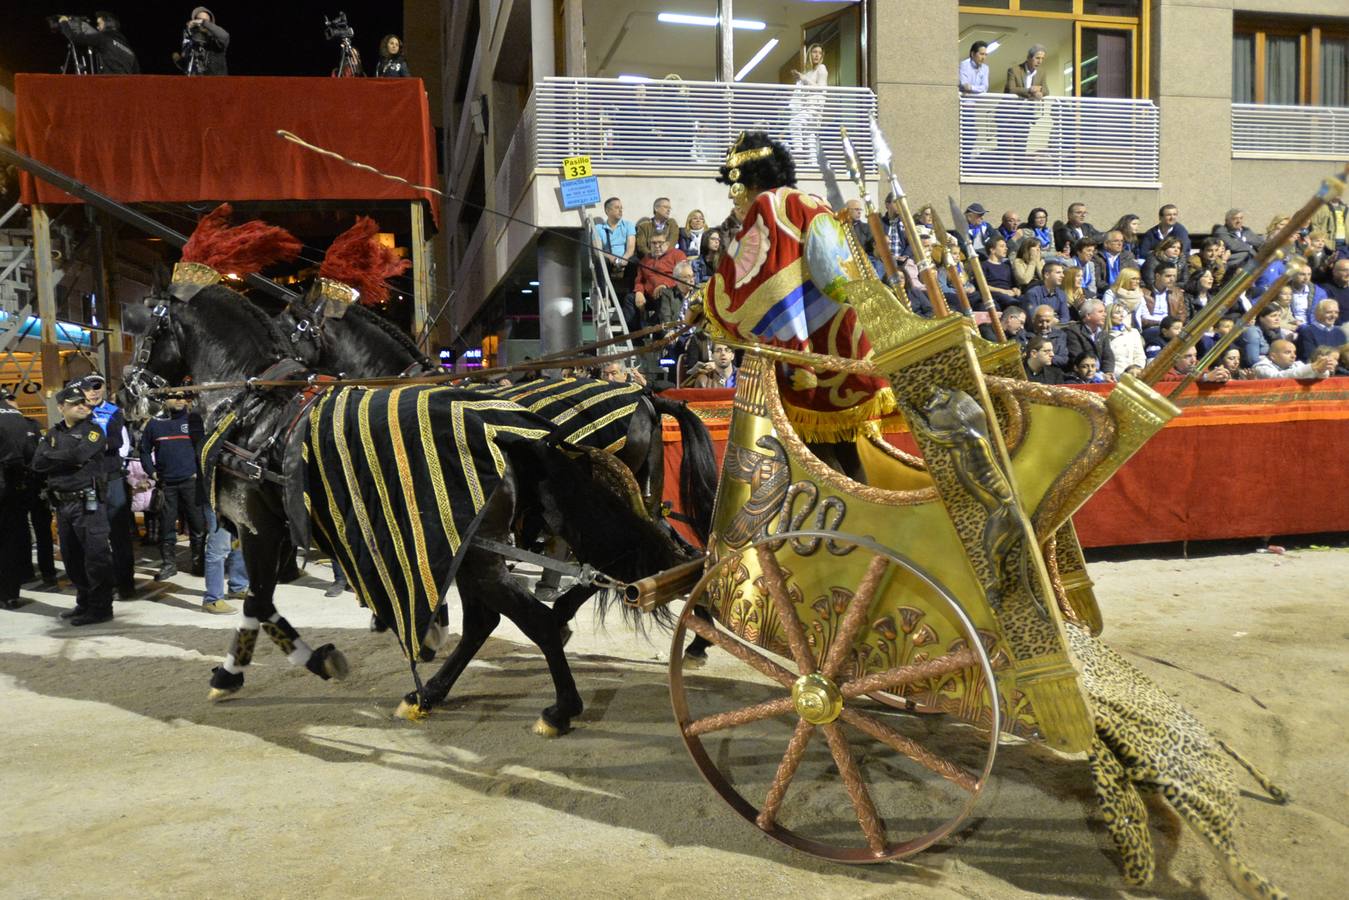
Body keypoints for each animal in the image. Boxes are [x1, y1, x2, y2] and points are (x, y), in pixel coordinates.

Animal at [121, 287, 696, 734]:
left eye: (143, 330)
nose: (130, 391)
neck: (253, 417)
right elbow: (270, 604)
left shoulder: (260, 528)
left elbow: (258, 604)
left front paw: (256, 670)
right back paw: (436, 690)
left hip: (493, 547)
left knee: (534, 610)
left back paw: (558, 701)